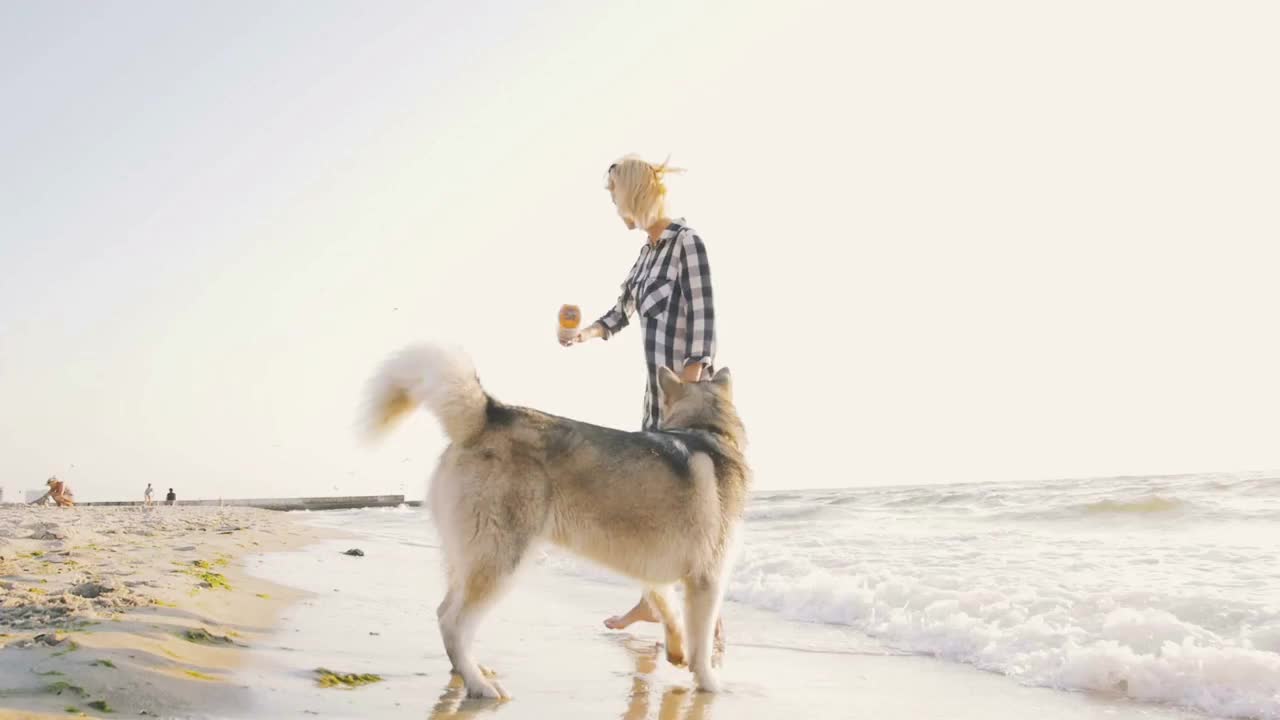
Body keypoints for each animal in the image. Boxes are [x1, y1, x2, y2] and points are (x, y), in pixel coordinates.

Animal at [363, 340, 747, 696]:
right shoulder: (708, 579)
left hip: (469, 558)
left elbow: (668, 611)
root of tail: (489, 414)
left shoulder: (653, 568)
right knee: (453, 622)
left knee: (444, 611)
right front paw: (710, 683)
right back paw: (479, 685)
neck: (707, 430)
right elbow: (702, 643)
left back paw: (470, 670)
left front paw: (677, 651)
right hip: (503, 559)